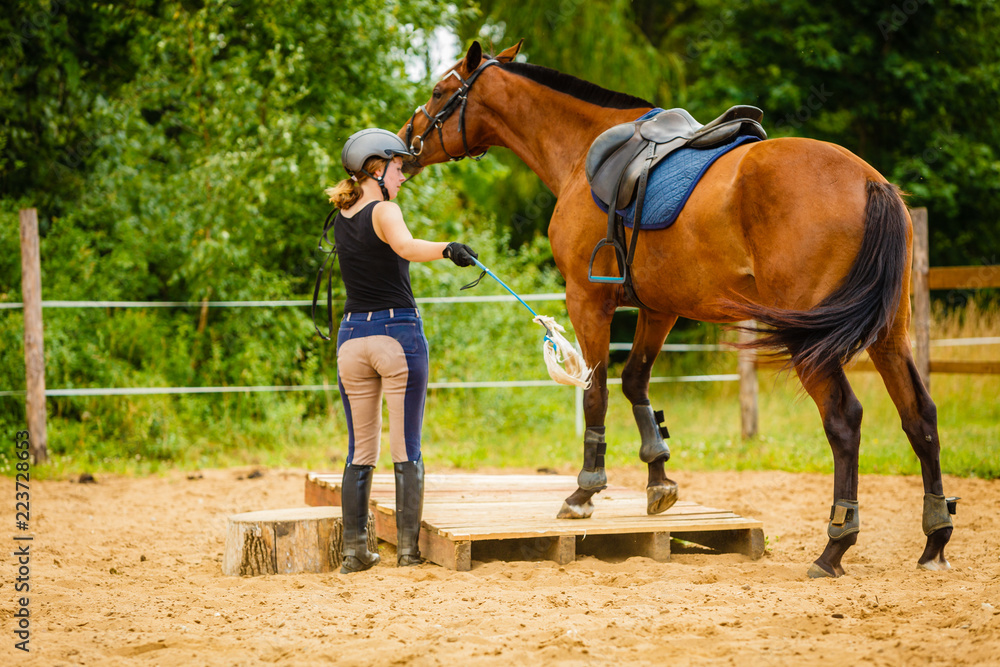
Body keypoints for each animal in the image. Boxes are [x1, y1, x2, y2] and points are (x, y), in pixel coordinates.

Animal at [398, 40, 952, 580]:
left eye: (439, 90)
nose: (405, 142)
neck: (584, 150)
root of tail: (869, 182)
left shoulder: (587, 299)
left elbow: (596, 391)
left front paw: (585, 490)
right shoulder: (658, 309)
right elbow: (635, 384)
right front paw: (658, 479)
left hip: (814, 342)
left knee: (843, 420)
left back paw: (836, 544)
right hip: (889, 333)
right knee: (919, 416)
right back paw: (935, 538)